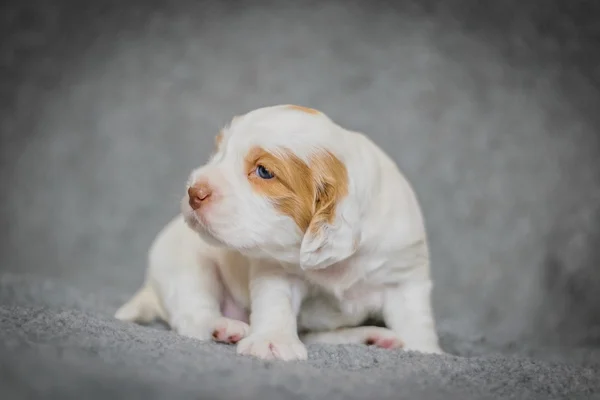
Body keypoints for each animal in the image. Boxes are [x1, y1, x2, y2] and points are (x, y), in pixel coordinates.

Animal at [115, 103, 442, 360]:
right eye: (218, 153)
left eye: (264, 172)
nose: (195, 192)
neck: (337, 265)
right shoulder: (275, 271)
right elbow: (275, 305)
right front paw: (271, 342)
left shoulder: (404, 277)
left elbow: (415, 321)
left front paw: (425, 352)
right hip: (186, 264)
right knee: (193, 313)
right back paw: (222, 327)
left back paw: (372, 337)